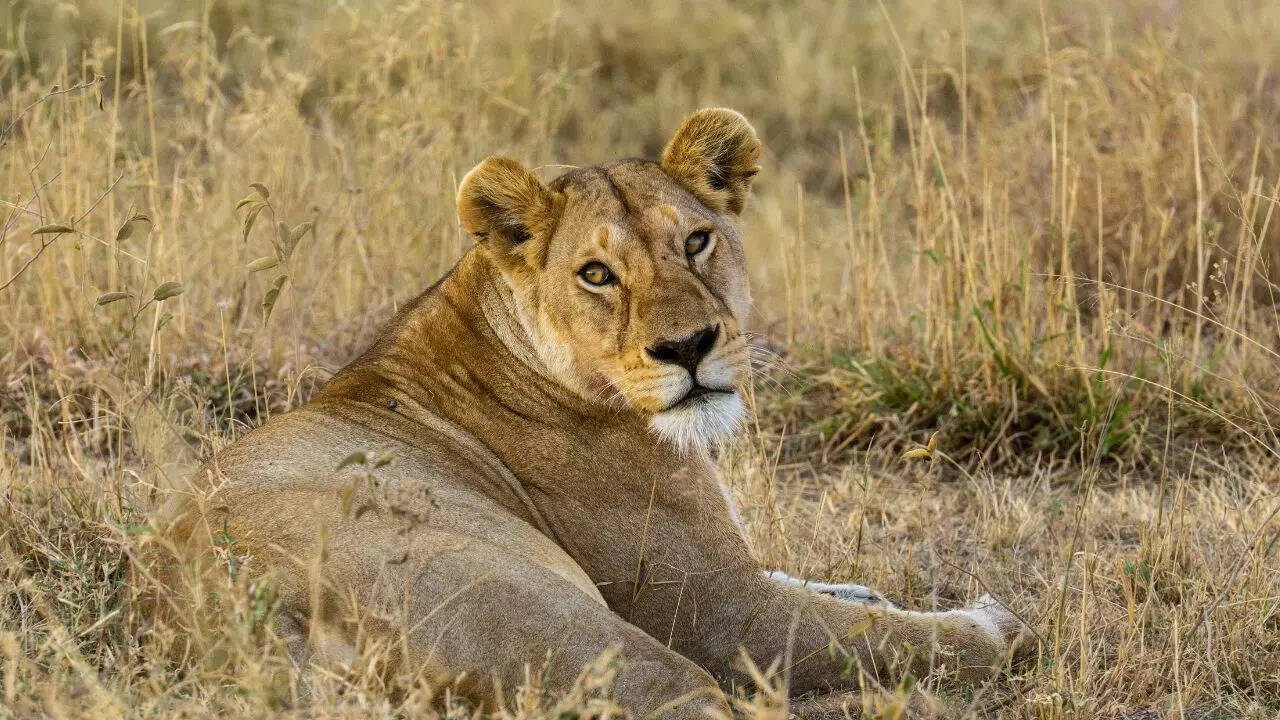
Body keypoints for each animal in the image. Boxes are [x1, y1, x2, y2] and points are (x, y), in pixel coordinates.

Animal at [161, 108, 1025, 717]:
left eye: (698, 241)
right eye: (597, 274)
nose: (687, 346)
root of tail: (235, 626)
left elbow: (839, 592)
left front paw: (876, 593)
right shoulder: (721, 611)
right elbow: (887, 638)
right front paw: (996, 624)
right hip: (574, 626)